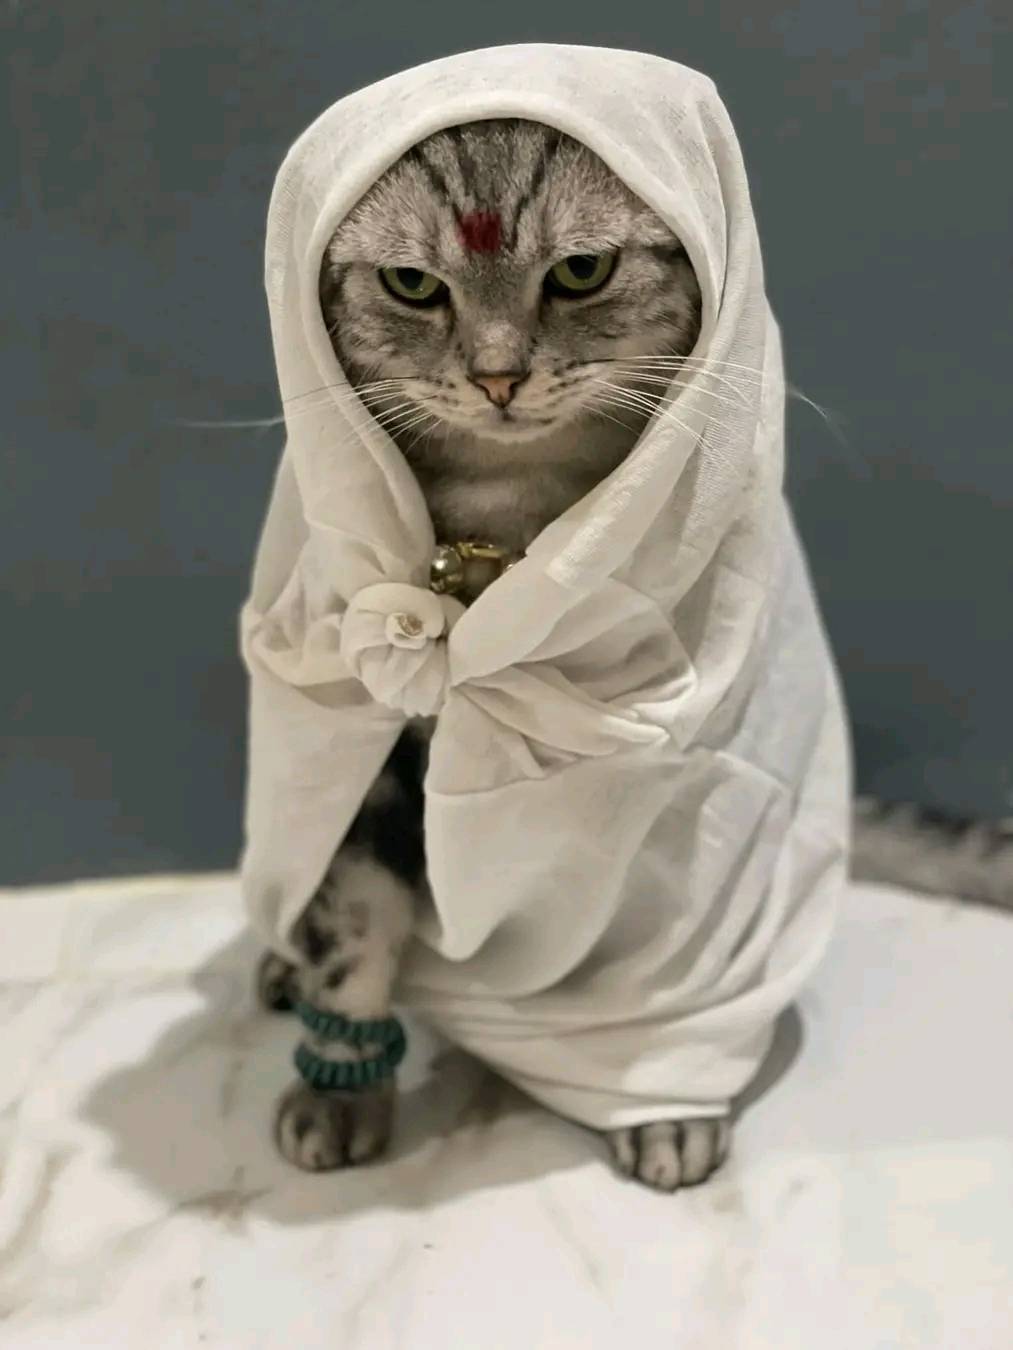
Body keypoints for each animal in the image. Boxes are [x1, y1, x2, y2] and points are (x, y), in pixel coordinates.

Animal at [256, 117, 1011, 1192]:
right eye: (411, 284)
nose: (496, 374)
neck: (501, 536)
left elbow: (661, 980)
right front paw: (339, 1087)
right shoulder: (363, 751)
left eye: (581, 270)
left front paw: (660, 1100)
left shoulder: (692, 798)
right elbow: (351, 925)